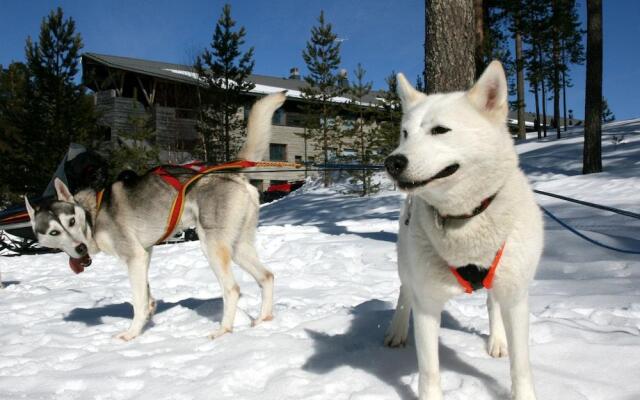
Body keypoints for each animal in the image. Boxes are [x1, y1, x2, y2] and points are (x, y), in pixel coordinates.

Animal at [382, 60, 544, 400]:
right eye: (405, 134)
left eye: (439, 130)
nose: (392, 162)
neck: (465, 217)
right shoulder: (427, 303)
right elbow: (429, 371)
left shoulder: (515, 295)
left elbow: (521, 365)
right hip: (407, 263)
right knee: (405, 292)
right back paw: (397, 330)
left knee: (492, 302)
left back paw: (497, 341)